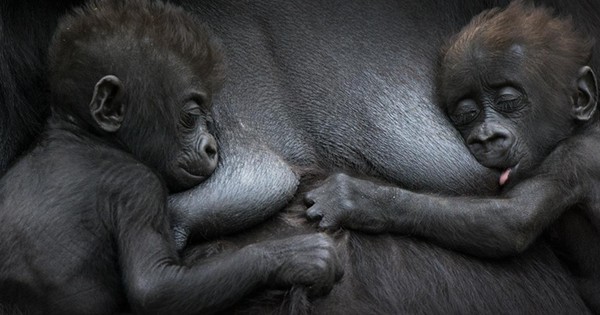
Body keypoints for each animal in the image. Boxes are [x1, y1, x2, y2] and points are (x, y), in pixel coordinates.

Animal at [0, 0, 342, 315]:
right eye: (191, 117)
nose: (211, 147)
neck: (81, 133)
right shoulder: (139, 185)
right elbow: (157, 289)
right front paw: (296, 258)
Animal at [304, 1, 600, 314]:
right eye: (467, 114)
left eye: (508, 101)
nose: (486, 137)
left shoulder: (575, 157)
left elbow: (512, 221)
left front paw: (357, 199)